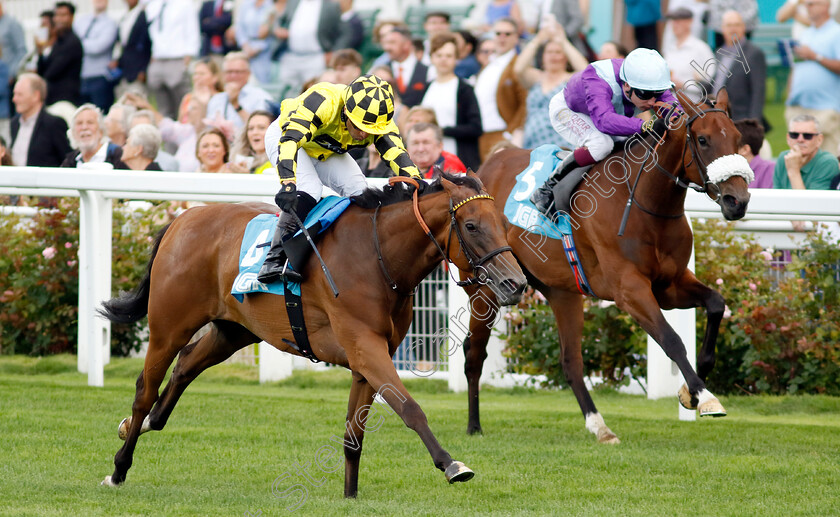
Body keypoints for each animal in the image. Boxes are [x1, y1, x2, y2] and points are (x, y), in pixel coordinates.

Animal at [98, 173, 524, 496]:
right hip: (168, 326)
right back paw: (119, 469)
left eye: (502, 225)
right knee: (145, 389)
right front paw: (452, 464)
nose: (516, 283)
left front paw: (350, 495)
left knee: (186, 364)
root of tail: (182, 219)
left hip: (234, 330)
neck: (377, 257)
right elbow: (409, 408)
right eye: (471, 226)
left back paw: (140, 424)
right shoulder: (366, 348)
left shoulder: (367, 356)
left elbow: (354, 434)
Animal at [462, 87, 752, 440]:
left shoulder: (669, 287)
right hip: (486, 289)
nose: (737, 201)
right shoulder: (630, 291)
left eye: (737, 137)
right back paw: (474, 425)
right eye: (703, 139)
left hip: (562, 291)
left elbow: (716, 304)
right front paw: (705, 397)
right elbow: (672, 340)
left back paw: (599, 426)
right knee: (474, 354)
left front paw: (689, 392)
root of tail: (486, 166)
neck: (646, 203)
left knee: (571, 362)